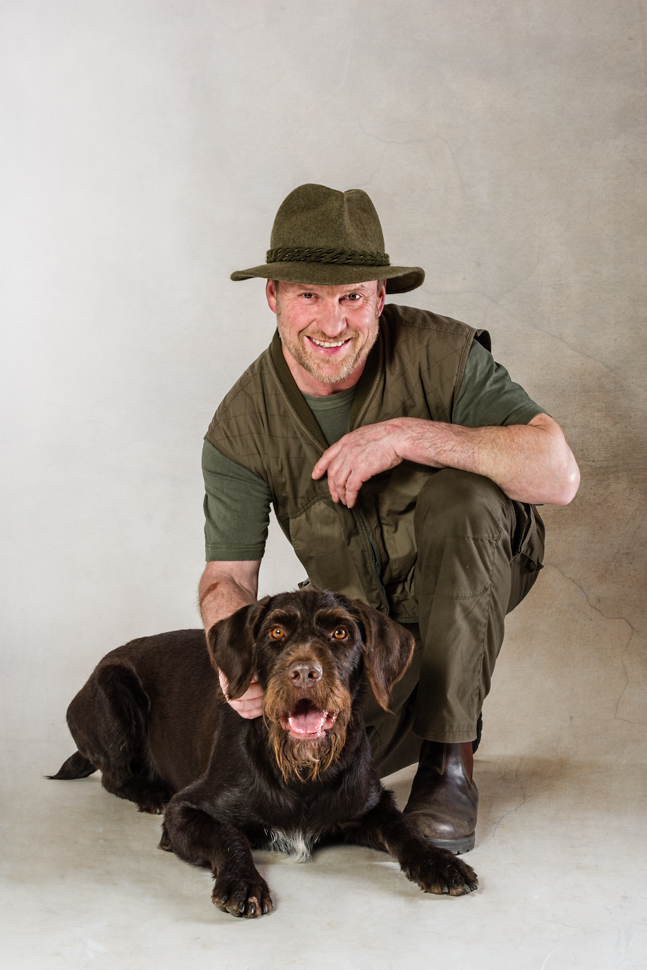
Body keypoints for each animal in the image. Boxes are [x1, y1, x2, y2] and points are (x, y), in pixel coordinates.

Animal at [50, 590, 478, 917]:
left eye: (340, 632)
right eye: (276, 631)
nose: (304, 672)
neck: (302, 771)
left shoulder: (372, 804)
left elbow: (405, 829)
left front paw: (441, 863)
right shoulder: (185, 812)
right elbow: (229, 835)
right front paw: (243, 882)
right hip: (114, 690)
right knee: (114, 776)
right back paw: (150, 791)